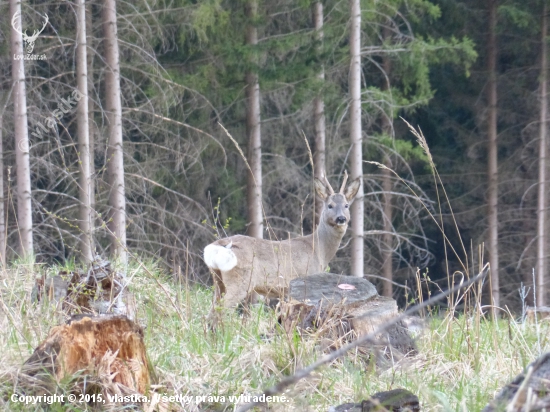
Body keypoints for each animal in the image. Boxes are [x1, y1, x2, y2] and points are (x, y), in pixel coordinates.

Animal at [203, 171, 362, 308]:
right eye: (330, 205)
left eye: (346, 205)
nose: (341, 218)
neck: (319, 250)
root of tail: (216, 246)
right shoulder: (305, 280)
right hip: (240, 281)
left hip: (218, 281)